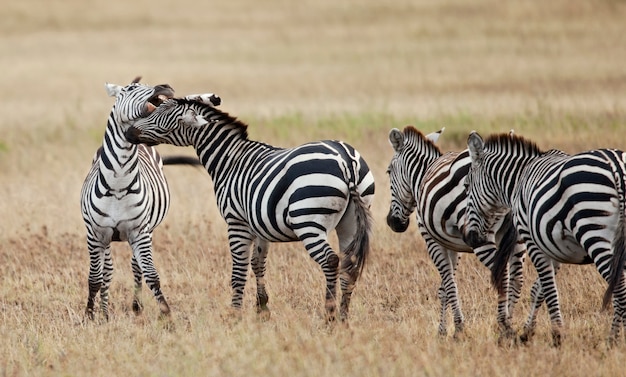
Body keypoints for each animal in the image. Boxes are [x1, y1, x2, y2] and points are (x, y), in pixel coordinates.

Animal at [80, 77, 221, 320]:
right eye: (130, 89)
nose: (165, 87)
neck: (118, 185)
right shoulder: (95, 234)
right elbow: (95, 278)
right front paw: (90, 316)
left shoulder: (140, 232)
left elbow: (151, 275)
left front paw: (166, 313)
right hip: (106, 239)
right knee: (107, 272)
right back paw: (105, 312)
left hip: (146, 231)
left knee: (136, 268)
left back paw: (136, 307)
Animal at [123, 96, 372, 320]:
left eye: (161, 113)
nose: (128, 132)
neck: (229, 160)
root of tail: (346, 160)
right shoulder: (259, 222)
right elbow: (257, 264)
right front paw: (262, 308)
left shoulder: (236, 222)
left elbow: (239, 271)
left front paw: (235, 314)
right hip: (350, 222)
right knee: (349, 264)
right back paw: (344, 317)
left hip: (308, 221)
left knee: (330, 261)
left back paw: (329, 316)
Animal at [382, 125, 524, 340]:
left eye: (389, 172)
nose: (393, 222)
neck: (422, 177)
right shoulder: (452, 244)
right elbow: (444, 288)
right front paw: (443, 330)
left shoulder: (432, 240)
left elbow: (449, 285)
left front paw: (457, 328)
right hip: (518, 238)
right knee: (517, 277)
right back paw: (511, 323)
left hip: (481, 236)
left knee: (503, 275)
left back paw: (503, 325)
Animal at [460, 131, 624, 346]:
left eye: (466, 185)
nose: (469, 237)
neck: (518, 179)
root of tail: (616, 166)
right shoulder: (552, 244)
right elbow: (538, 289)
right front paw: (527, 331)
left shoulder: (532, 240)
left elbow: (548, 287)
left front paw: (557, 335)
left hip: (595, 233)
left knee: (619, 287)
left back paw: (612, 339)